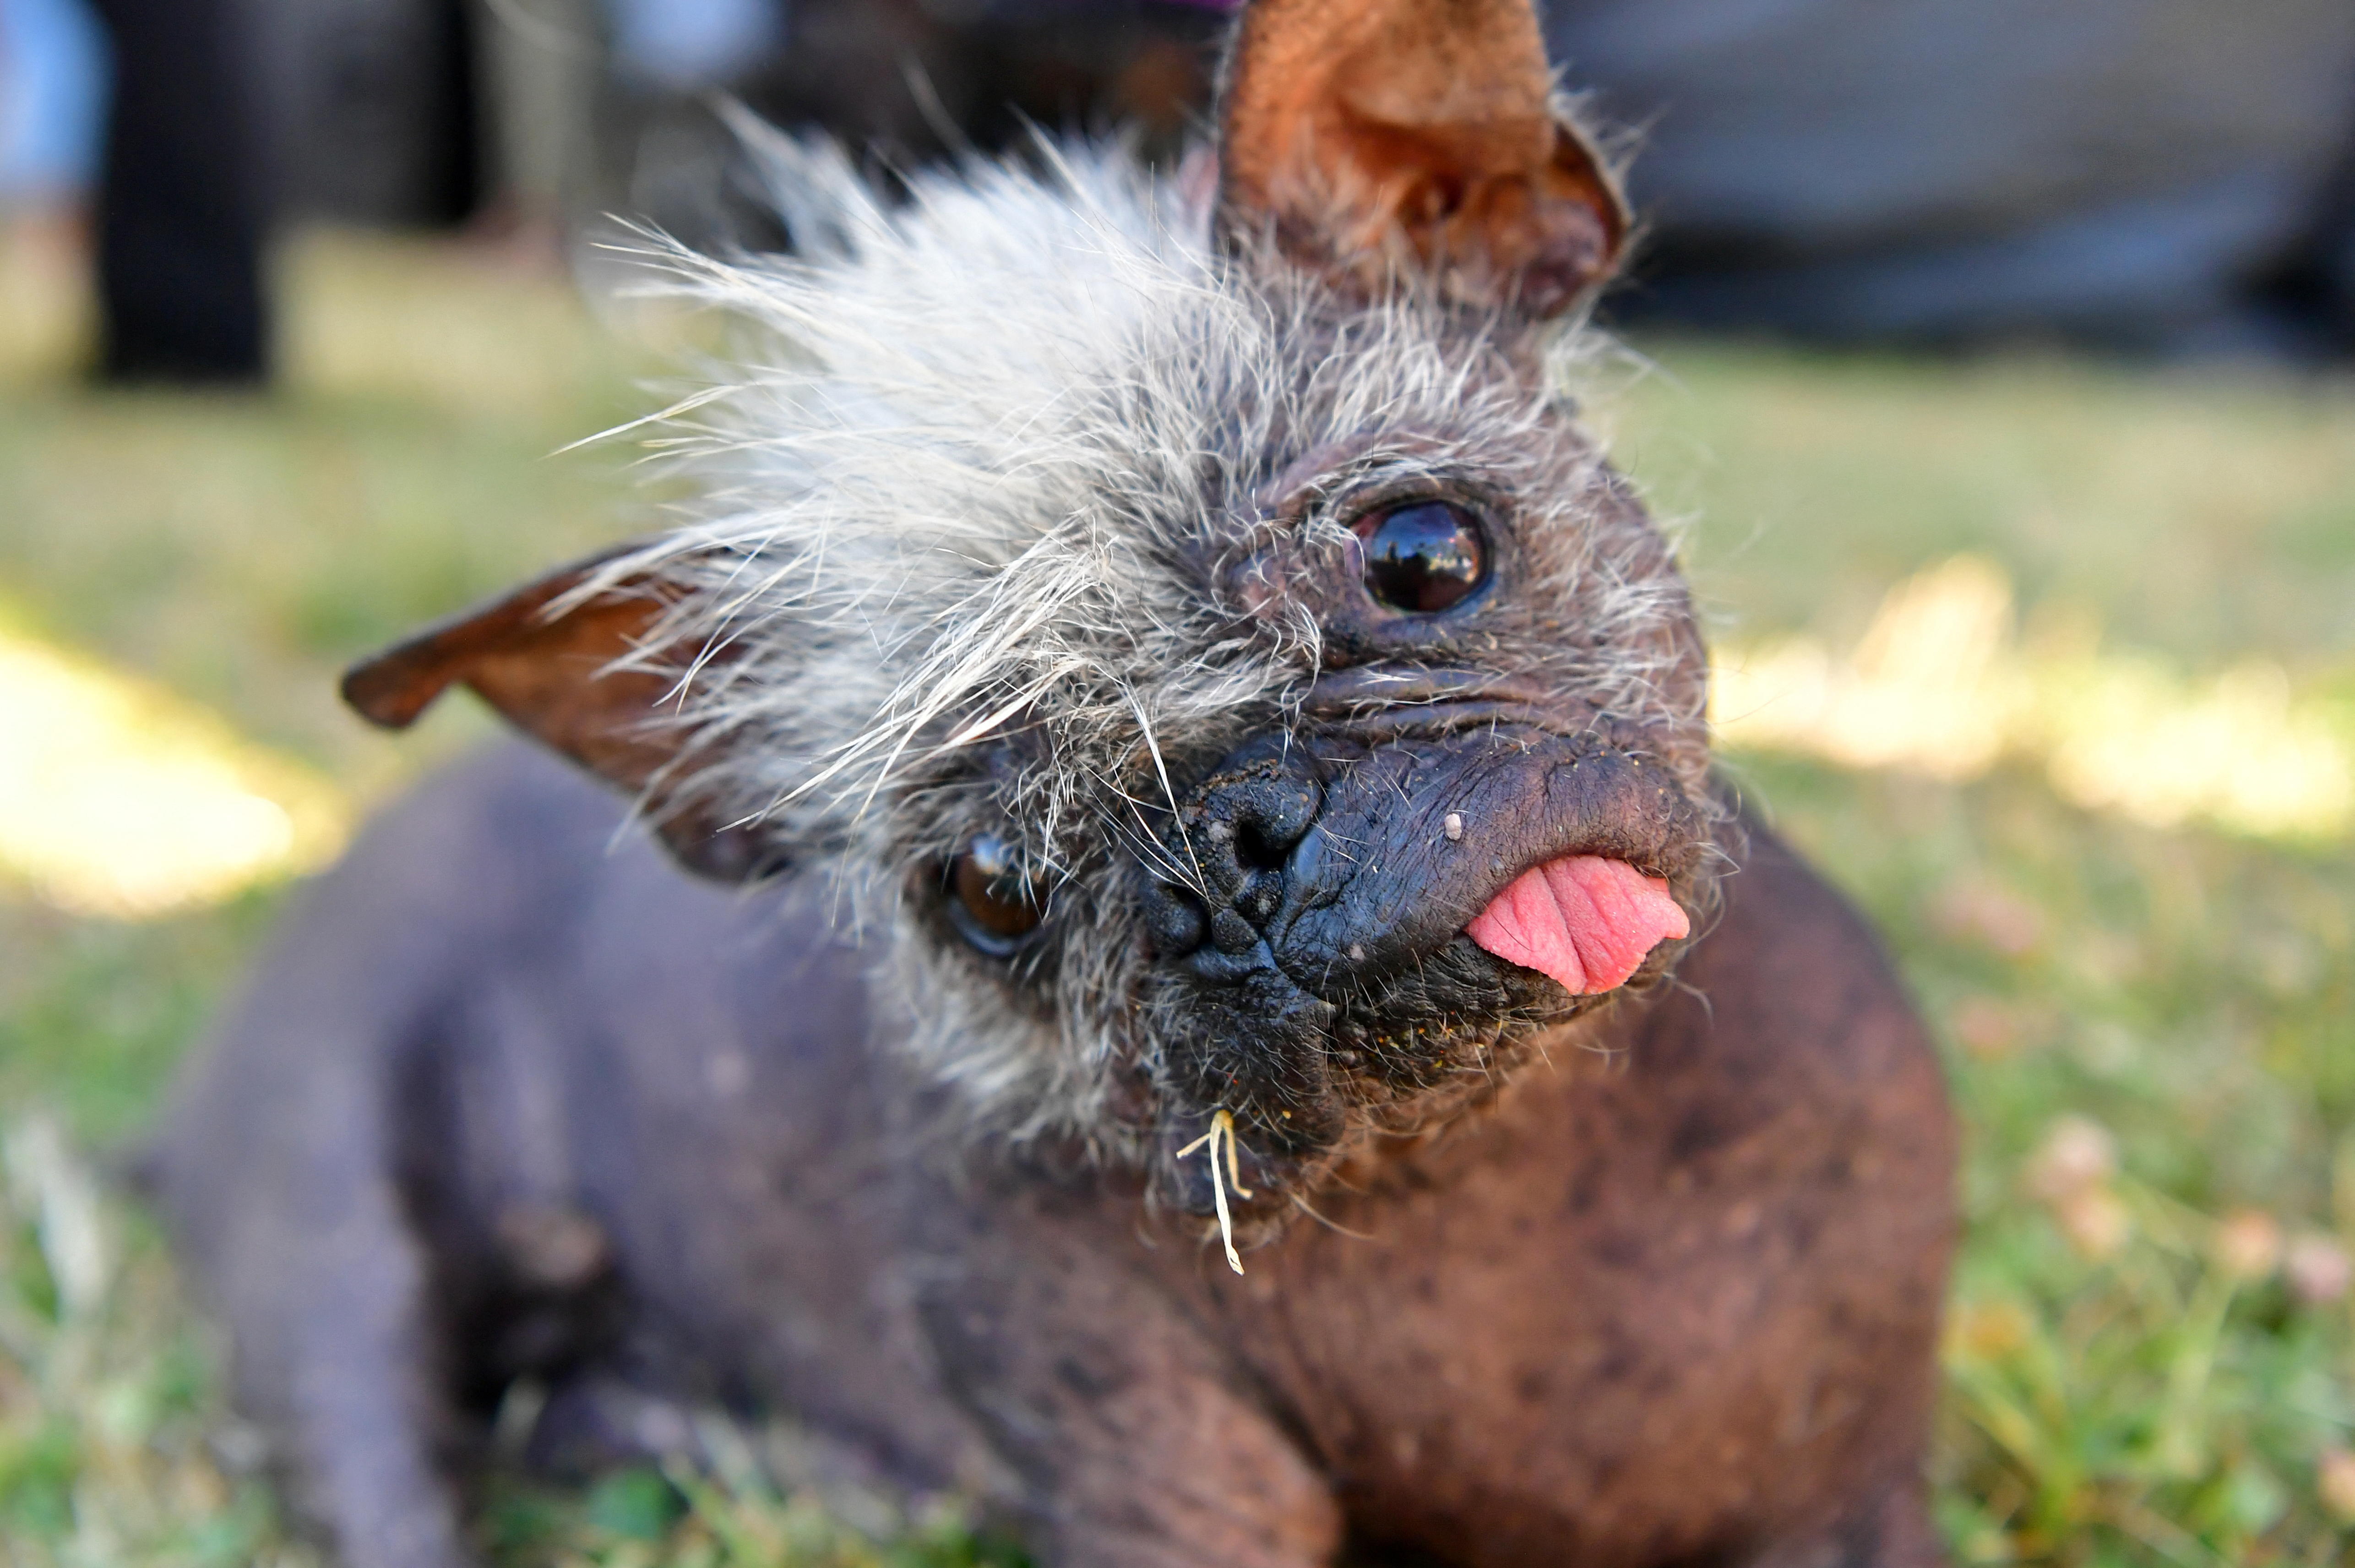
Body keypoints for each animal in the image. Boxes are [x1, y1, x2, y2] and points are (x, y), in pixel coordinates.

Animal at [152, 6, 1950, 1554]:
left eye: (1423, 556)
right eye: (991, 889)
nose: (1238, 842)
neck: (1488, 1174)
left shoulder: (1855, 1507)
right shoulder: (1162, 1495)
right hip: (333, 1241)